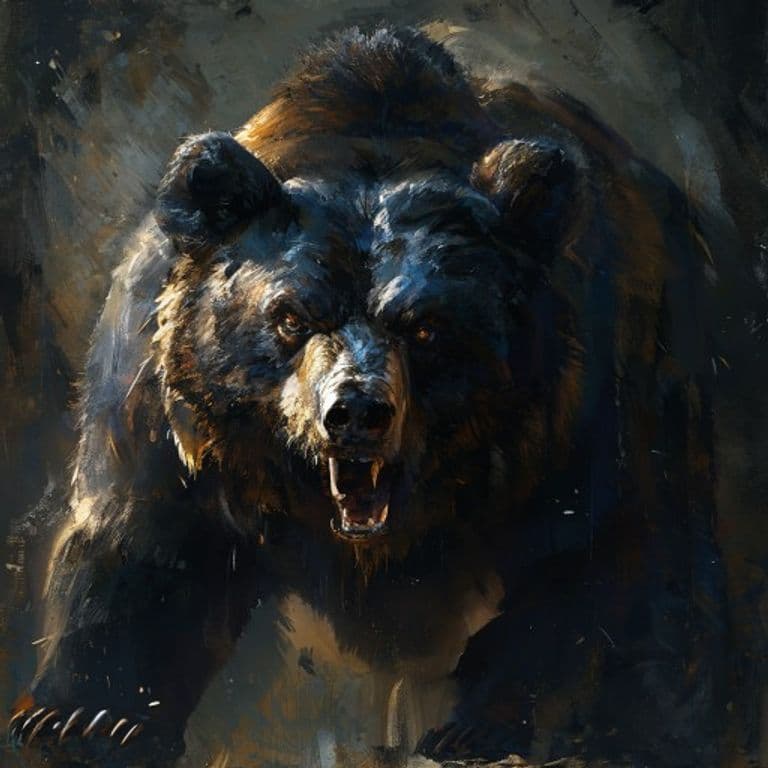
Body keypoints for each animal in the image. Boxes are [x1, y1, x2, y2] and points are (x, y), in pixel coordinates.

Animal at [10, 25, 724, 768]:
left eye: (427, 324)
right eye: (291, 316)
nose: (356, 413)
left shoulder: (576, 412)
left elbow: (588, 557)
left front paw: (476, 724)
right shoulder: (163, 407)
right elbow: (140, 542)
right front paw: (85, 717)